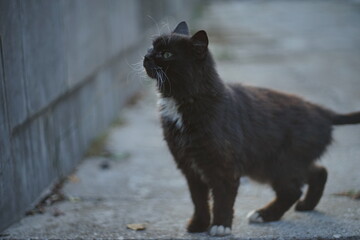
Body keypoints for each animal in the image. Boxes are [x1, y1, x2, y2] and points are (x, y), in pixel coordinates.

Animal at [143, 22, 360, 236]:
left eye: (167, 54)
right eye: (151, 48)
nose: (146, 57)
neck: (182, 101)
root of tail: (322, 111)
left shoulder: (224, 165)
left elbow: (223, 197)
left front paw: (221, 226)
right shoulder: (189, 165)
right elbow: (198, 199)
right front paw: (199, 224)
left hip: (280, 162)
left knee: (292, 190)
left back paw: (264, 214)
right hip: (278, 162)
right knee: (318, 171)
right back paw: (306, 205)